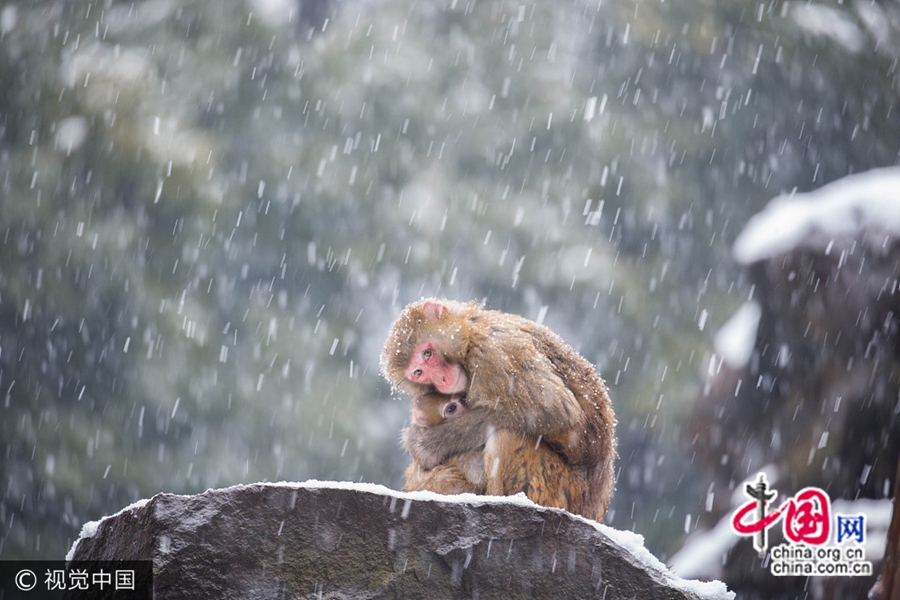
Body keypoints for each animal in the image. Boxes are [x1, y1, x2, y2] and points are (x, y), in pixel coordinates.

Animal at [380, 300, 620, 520]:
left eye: (427, 353)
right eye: (418, 373)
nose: (441, 379)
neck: (470, 334)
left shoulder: (494, 351)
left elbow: (554, 410)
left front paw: (427, 444)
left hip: (562, 491)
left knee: (507, 437)